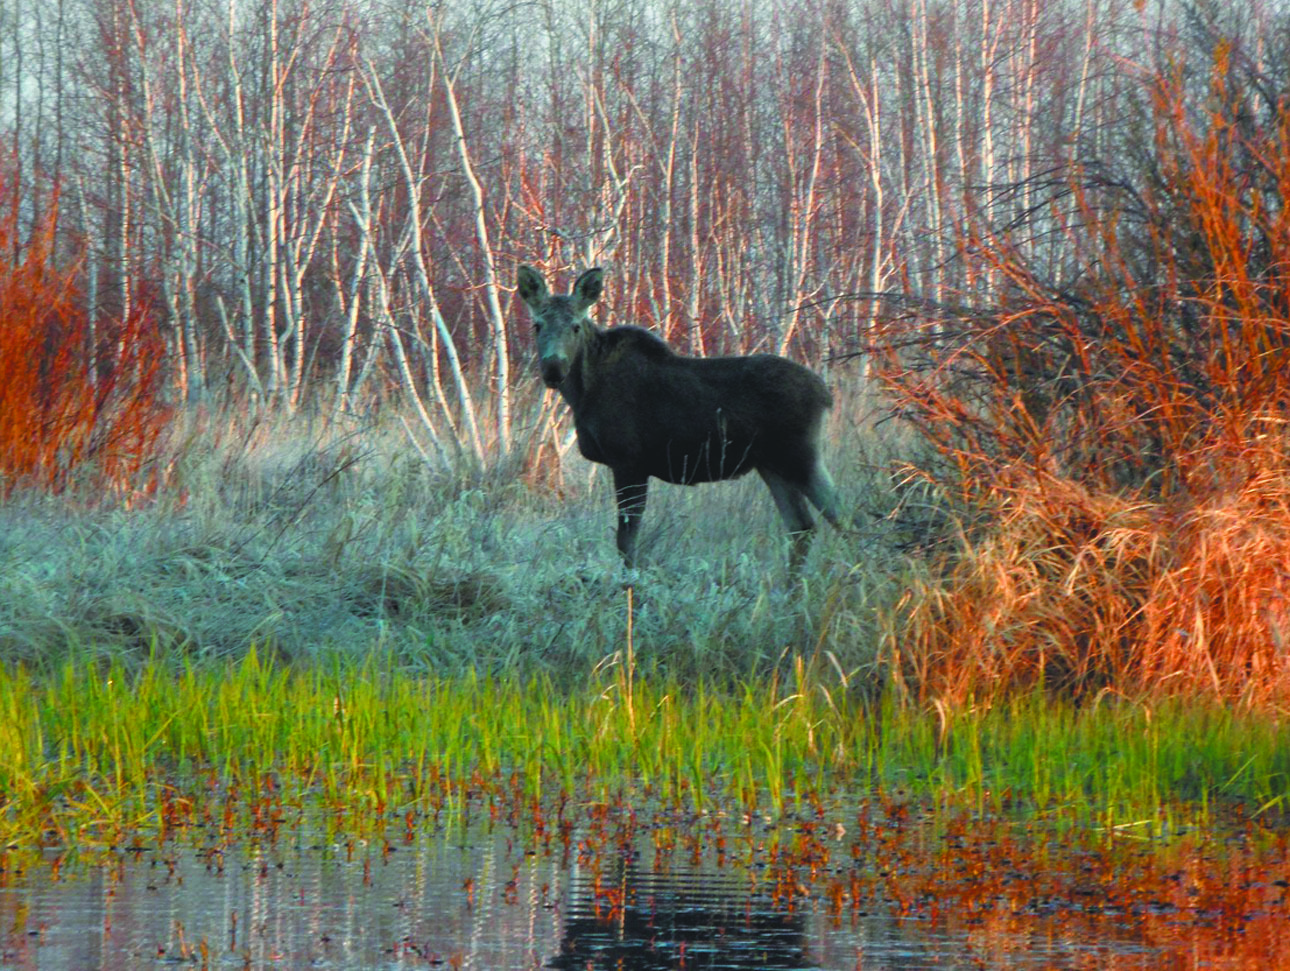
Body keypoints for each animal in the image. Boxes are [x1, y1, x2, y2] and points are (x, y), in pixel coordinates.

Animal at [518, 265, 841, 567]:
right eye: (536, 325)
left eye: (575, 326)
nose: (553, 368)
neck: (584, 394)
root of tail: (825, 394)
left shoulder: (628, 461)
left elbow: (626, 543)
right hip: (771, 464)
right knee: (802, 527)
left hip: (800, 455)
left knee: (842, 515)